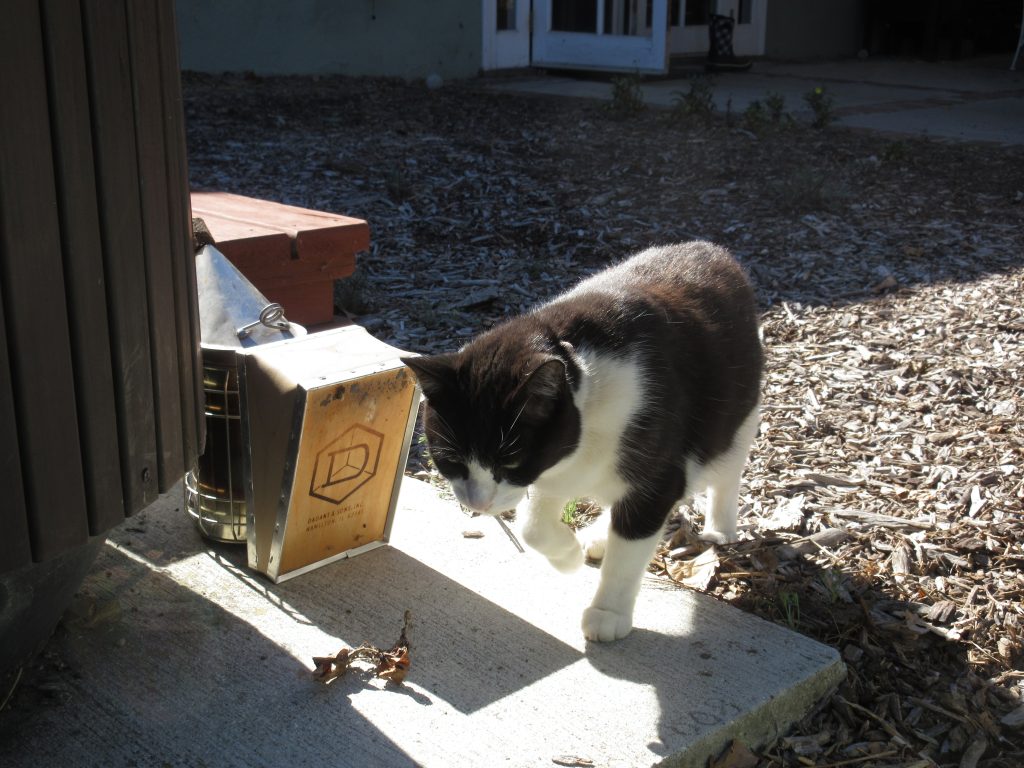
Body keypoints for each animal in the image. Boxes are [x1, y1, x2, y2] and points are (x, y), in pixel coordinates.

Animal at [399, 241, 761, 643]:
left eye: (509, 463)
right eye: (452, 462)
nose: (478, 504)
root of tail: (707, 248)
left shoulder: (657, 471)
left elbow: (631, 545)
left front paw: (608, 612)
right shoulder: (553, 468)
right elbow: (532, 526)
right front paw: (567, 556)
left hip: (737, 415)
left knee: (726, 470)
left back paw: (720, 527)